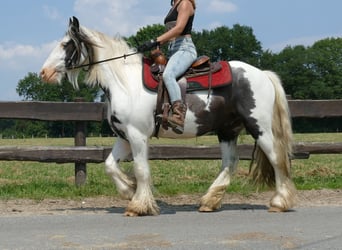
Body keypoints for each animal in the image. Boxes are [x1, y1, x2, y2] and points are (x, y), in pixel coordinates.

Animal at [40, 16, 296, 216]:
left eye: (65, 44)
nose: (44, 73)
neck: (125, 83)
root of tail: (262, 74)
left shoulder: (137, 136)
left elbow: (141, 169)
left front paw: (139, 205)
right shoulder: (124, 136)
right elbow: (110, 165)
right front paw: (129, 190)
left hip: (259, 127)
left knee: (276, 158)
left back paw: (279, 202)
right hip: (227, 130)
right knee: (230, 163)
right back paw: (209, 202)